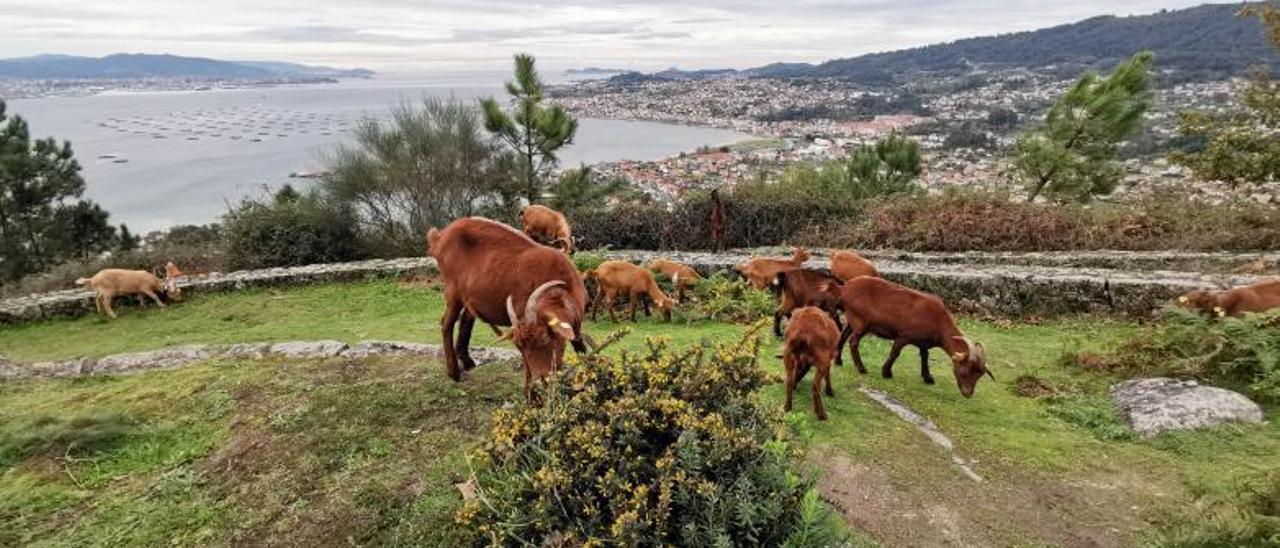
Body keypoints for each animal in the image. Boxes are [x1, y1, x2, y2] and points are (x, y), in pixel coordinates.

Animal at [430, 216, 588, 399]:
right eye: (519, 346)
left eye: (544, 339)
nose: (541, 380)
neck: (561, 283)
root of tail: (440, 237)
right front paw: (532, 396)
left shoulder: (575, 325)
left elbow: (581, 349)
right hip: (453, 290)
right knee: (446, 323)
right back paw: (454, 372)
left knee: (466, 319)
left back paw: (467, 361)